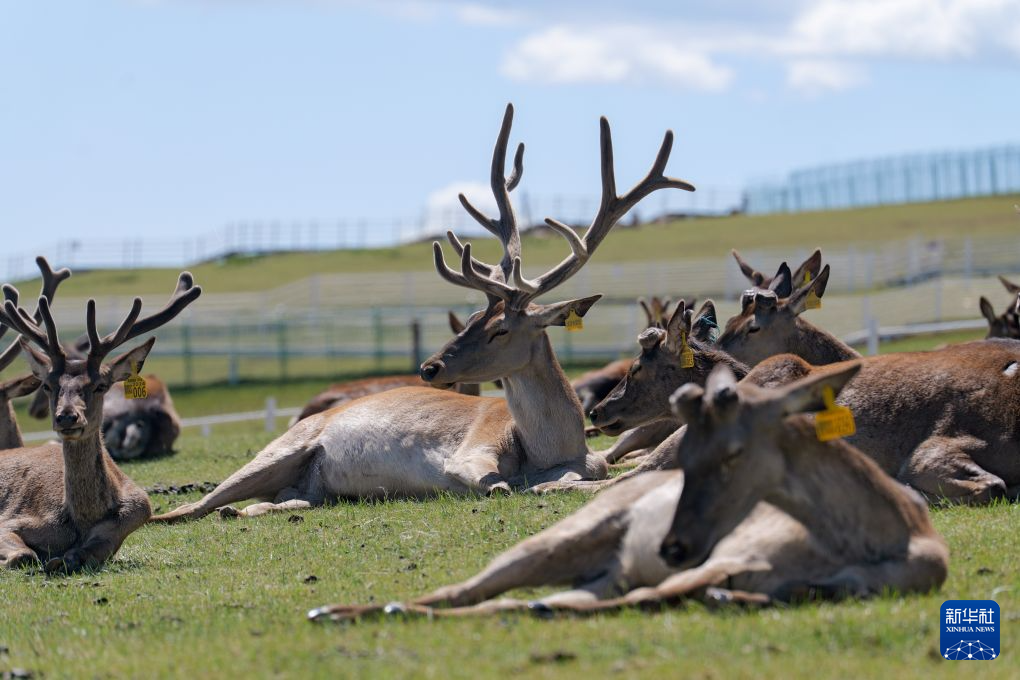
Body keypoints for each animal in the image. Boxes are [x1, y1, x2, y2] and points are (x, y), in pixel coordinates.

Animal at [149, 103, 695, 523]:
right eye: (470, 320)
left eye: (499, 329)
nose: (430, 366)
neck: (558, 449)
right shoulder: (470, 453)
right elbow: (502, 485)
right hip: (279, 449)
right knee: (185, 508)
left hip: (306, 487)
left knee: (282, 501)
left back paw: (241, 511)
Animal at [308, 363, 947, 621]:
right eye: (687, 453)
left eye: (733, 452)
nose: (675, 545)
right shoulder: (726, 559)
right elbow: (656, 597)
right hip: (552, 544)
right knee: (457, 592)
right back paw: (337, 610)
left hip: (594, 571)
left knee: (502, 602)